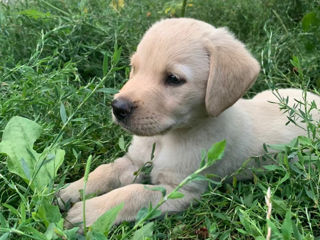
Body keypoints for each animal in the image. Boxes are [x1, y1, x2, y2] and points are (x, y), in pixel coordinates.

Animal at [58, 18, 320, 227]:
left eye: (174, 79)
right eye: (134, 68)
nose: (118, 107)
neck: (166, 139)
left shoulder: (179, 190)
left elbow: (131, 194)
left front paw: (89, 212)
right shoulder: (134, 161)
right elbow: (104, 171)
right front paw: (72, 190)